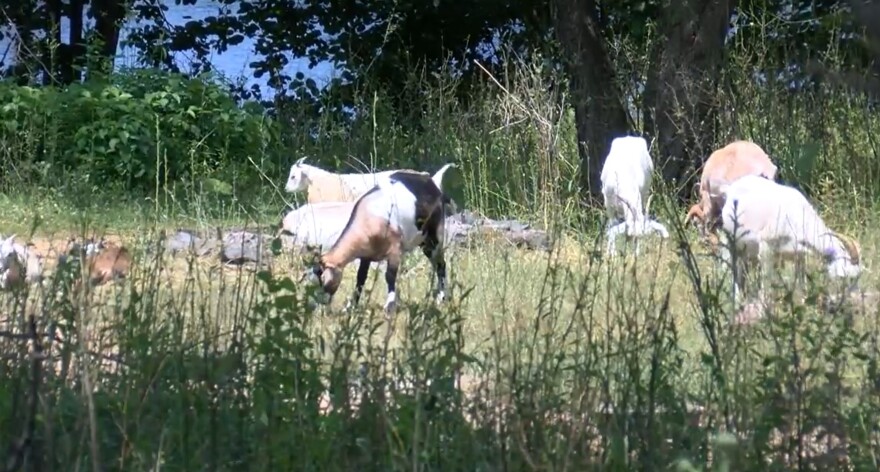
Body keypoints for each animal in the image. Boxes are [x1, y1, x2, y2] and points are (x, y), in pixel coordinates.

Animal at [304, 170, 454, 314]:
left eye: (322, 282)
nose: (316, 309)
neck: (370, 216)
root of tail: (432, 183)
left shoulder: (395, 249)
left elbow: (390, 276)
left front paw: (390, 306)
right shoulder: (366, 254)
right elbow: (360, 278)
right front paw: (351, 307)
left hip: (435, 237)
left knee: (440, 264)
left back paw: (441, 298)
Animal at [716, 175, 860, 304]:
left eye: (856, 277)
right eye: (842, 277)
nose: (852, 301)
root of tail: (730, 189)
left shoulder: (799, 255)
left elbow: (802, 282)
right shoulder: (766, 248)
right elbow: (766, 281)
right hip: (728, 239)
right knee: (730, 268)